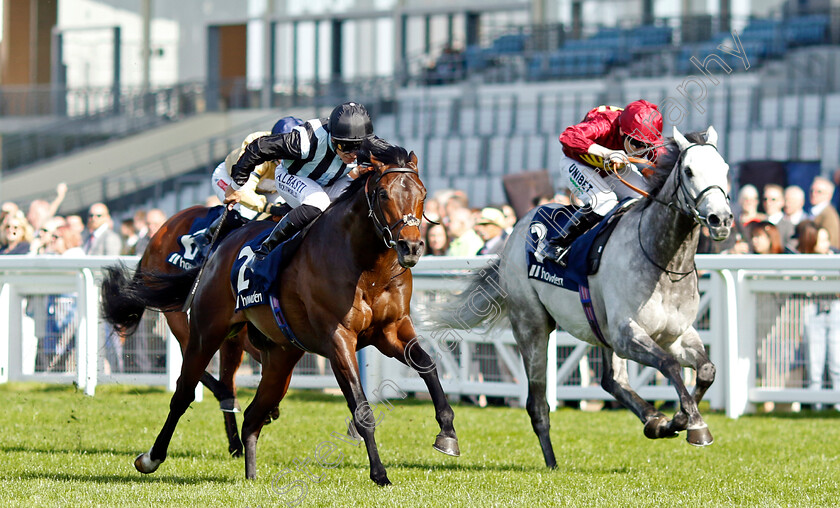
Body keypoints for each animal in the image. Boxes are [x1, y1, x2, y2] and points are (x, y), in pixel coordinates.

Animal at [436, 127, 732, 468]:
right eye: (689, 171)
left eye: (725, 169)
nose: (721, 219)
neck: (663, 260)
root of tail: (516, 231)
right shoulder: (626, 333)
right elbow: (669, 365)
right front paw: (695, 425)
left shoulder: (676, 334)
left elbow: (707, 370)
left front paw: (678, 421)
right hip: (531, 326)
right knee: (537, 404)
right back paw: (552, 462)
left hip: (599, 330)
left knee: (612, 381)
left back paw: (653, 420)